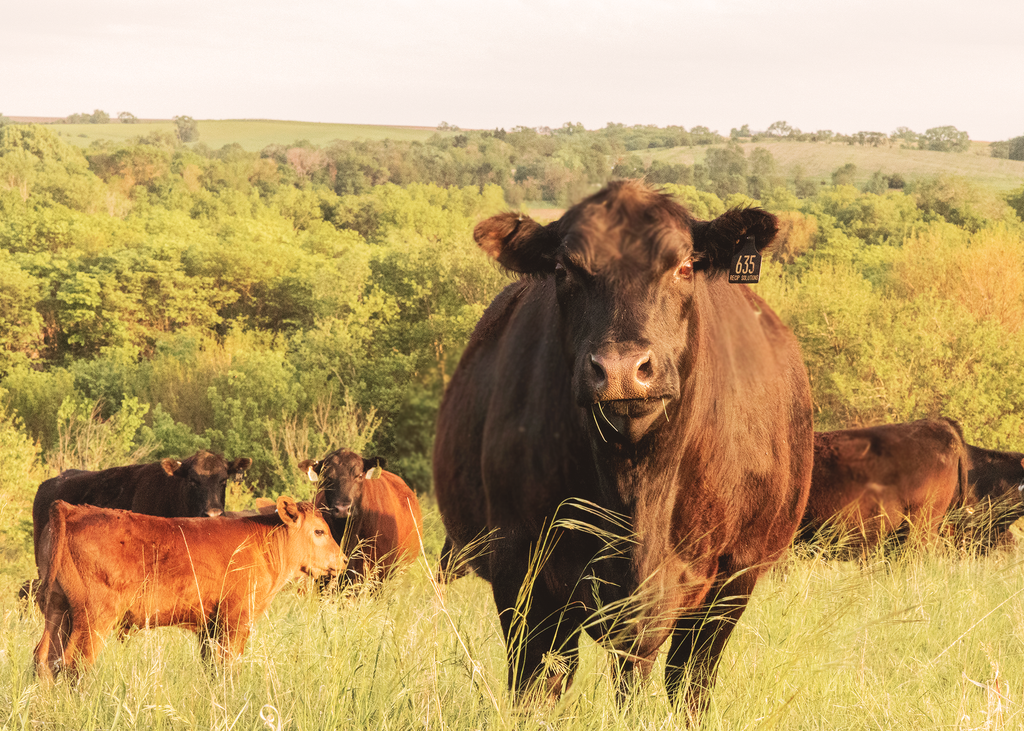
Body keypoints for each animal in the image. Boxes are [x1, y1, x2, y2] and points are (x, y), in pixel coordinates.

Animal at [35, 493, 339, 679]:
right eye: (319, 531)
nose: (342, 559)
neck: (261, 543)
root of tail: (71, 510)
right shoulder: (235, 620)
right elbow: (228, 666)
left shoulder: (209, 626)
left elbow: (212, 667)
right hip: (94, 617)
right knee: (76, 663)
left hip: (58, 611)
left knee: (44, 659)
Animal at [428, 178, 811, 716]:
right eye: (564, 270)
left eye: (685, 266)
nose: (622, 370)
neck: (637, 486)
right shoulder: (518, 566)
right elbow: (535, 687)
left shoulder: (736, 572)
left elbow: (686, 685)